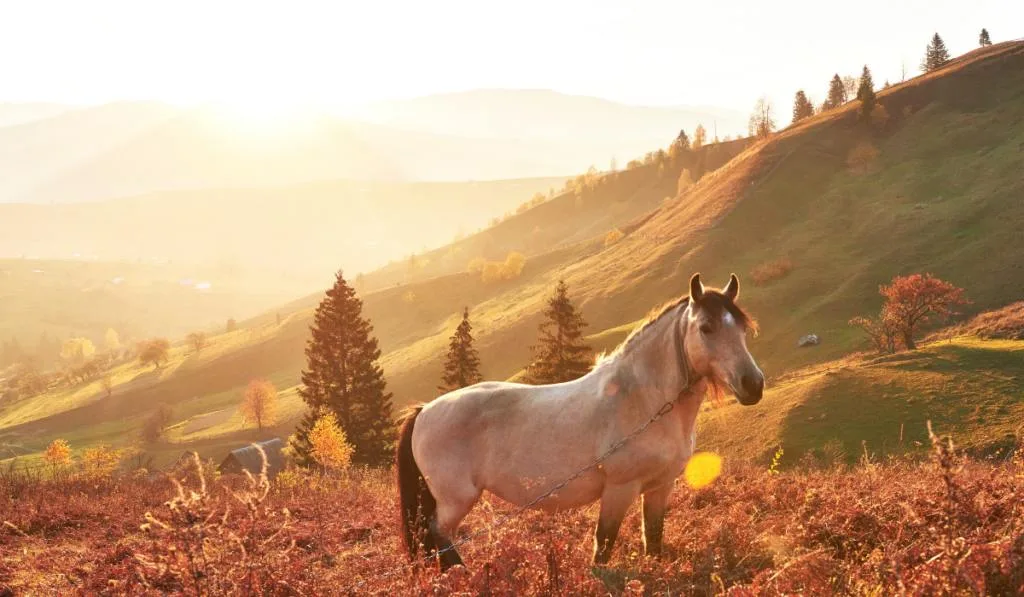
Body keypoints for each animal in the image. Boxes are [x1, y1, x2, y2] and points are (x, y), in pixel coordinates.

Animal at [395, 272, 765, 569]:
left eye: (743, 328)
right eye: (706, 328)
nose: (753, 384)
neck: (643, 402)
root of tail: (425, 410)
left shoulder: (661, 487)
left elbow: (654, 539)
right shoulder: (619, 490)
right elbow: (604, 546)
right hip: (456, 500)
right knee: (439, 537)